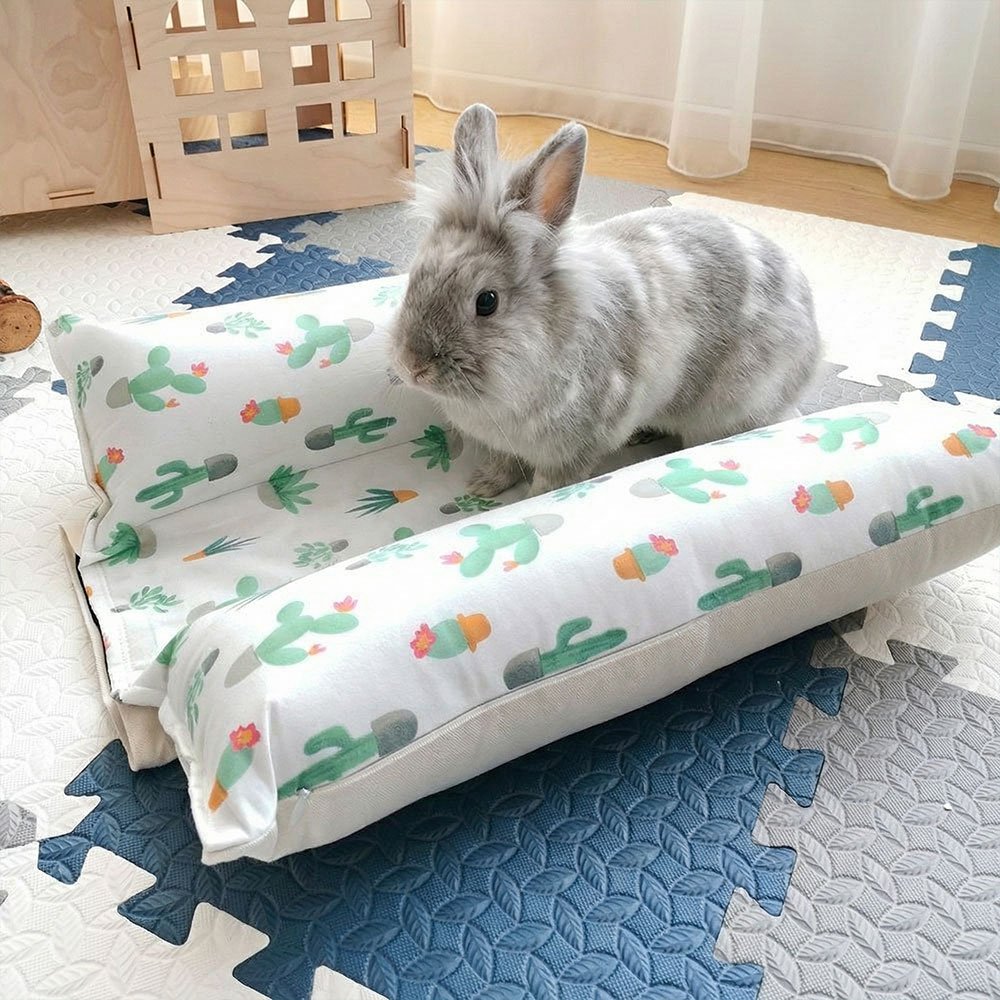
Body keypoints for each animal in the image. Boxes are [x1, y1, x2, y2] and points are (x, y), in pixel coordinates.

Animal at [390, 103, 820, 498]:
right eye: (415, 277)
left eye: (487, 302)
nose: (413, 367)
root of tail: (814, 341)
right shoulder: (503, 444)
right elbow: (503, 463)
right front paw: (481, 488)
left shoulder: (571, 451)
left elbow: (548, 485)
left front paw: (524, 501)